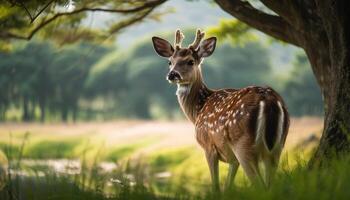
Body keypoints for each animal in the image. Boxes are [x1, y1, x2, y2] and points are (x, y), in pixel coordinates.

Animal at [150, 29, 290, 191]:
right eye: (170, 62)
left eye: (190, 61)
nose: (172, 74)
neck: (198, 109)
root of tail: (269, 101)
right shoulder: (232, 159)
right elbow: (227, 186)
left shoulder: (208, 146)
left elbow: (216, 186)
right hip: (277, 147)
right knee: (270, 184)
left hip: (243, 144)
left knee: (260, 185)